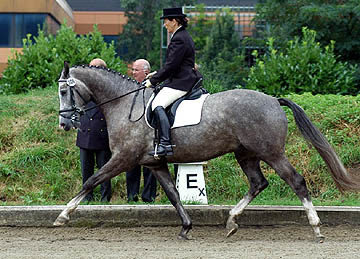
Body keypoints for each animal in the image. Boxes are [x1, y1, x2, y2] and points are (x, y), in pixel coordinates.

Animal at [54, 62, 360, 242]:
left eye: (65, 92)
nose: (64, 123)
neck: (125, 104)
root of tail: (273, 100)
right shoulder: (154, 164)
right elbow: (174, 195)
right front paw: (186, 227)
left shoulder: (123, 158)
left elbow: (91, 180)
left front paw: (63, 216)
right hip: (245, 154)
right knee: (258, 183)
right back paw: (232, 221)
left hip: (271, 153)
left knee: (295, 181)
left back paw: (316, 227)